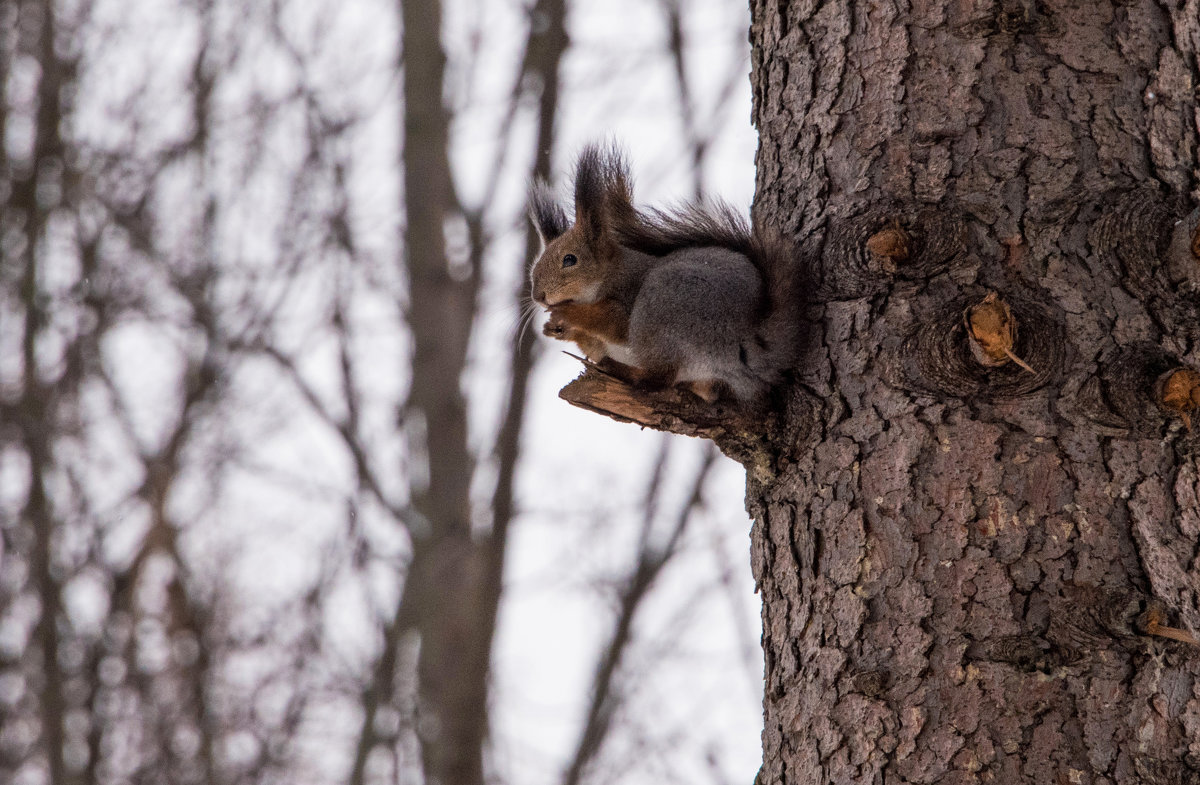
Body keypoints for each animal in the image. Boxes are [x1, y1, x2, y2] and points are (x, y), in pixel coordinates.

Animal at [530, 142, 801, 405]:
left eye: (569, 260)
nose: (538, 296)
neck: (607, 276)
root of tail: (744, 344)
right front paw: (556, 328)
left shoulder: (627, 295)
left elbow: (613, 324)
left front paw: (567, 314)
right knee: (704, 392)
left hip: (661, 310)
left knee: (658, 379)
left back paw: (625, 372)